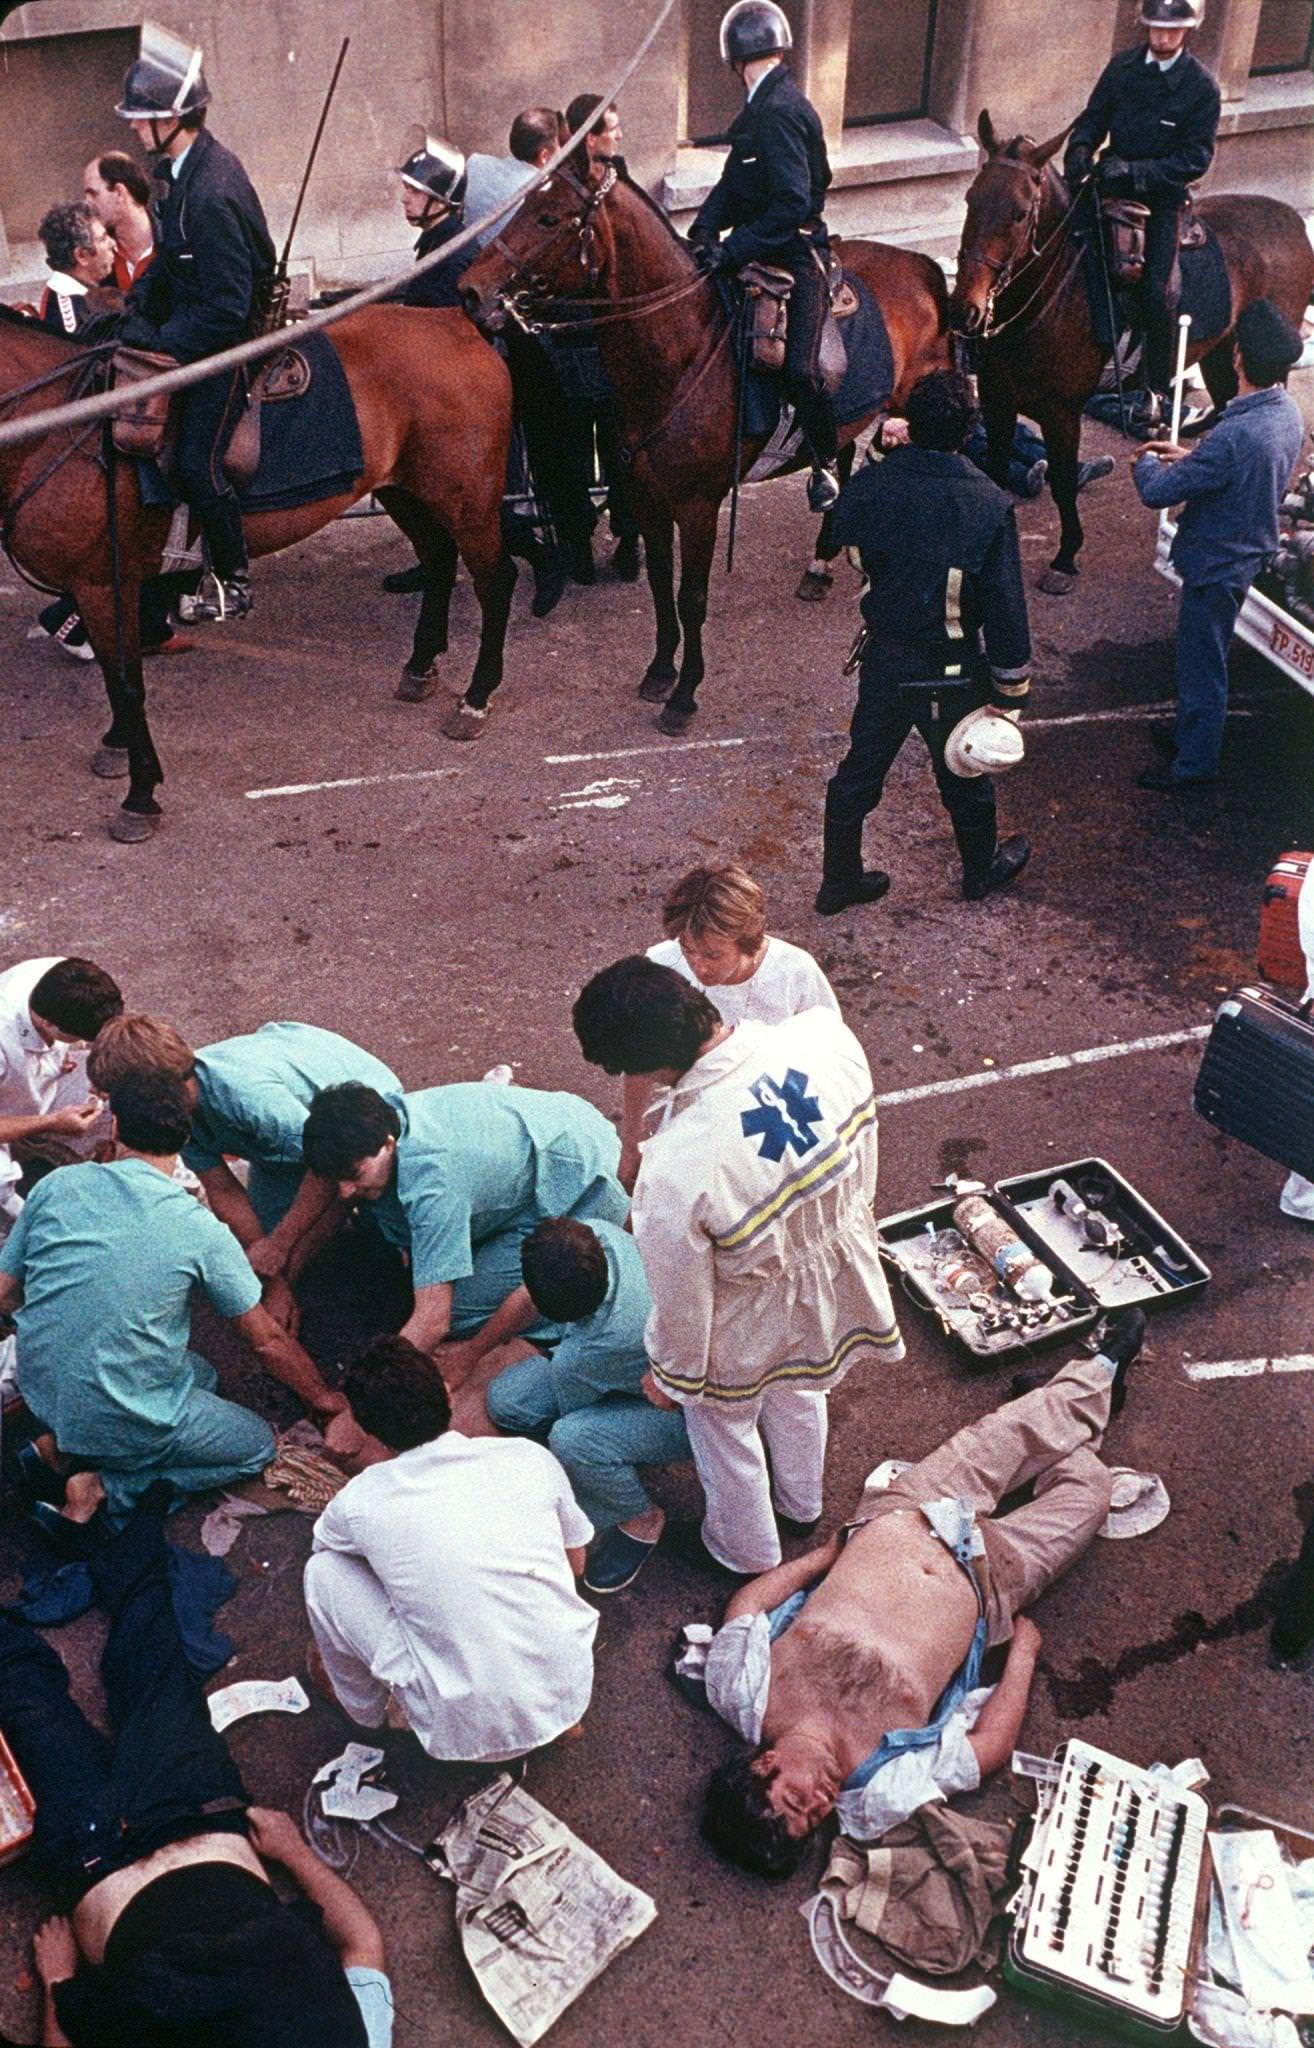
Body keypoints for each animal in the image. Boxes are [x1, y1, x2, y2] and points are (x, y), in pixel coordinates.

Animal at [0, 299, 515, 839]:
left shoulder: (102, 583)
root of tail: (454, 320)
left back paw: (476, 698)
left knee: (494, 582)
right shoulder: (107, 587)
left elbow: (124, 682)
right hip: (403, 489)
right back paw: (419, 668)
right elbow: (119, 675)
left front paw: (140, 796)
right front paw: (119, 746)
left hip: (469, 501)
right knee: (437, 561)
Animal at [454, 157, 945, 737]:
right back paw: (821, 560)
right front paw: (660, 672)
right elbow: (661, 585)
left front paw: (684, 696)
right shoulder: (646, 496)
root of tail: (919, 264)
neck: (680, 351)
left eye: (549, 217)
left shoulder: (697, 506)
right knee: (841, 457)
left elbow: (691, 598)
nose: (470, 291)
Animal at [945, 111, 1301, 593]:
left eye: (1020, 213)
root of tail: (1294, 221)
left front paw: (1065, 557)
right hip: (1223, 354)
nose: (965, 308)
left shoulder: (1061, 413)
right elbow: (996, 470)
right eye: (970, 199)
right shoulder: (999, 400)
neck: (1052, 296)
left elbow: (1062, 480)